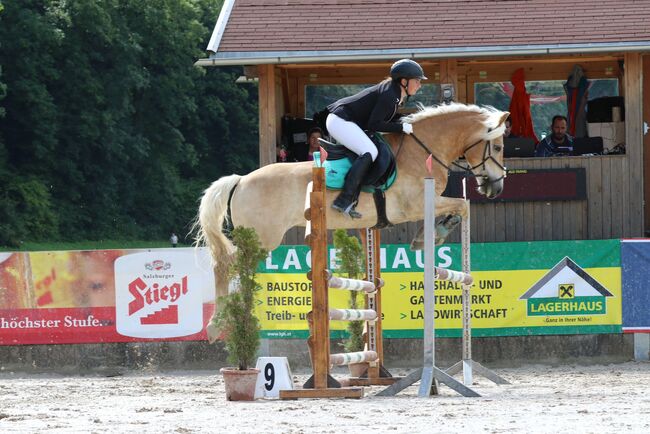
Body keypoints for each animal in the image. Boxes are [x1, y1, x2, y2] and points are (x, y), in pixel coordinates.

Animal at [195, 102, 508, 342]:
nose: (496, 187)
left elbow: (460, 206)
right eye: (499, 147)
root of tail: (241, 180)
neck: (422, 150)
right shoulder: (415, 205)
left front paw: (431, 233)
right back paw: (218, 326)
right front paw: (434, 234)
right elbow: (462, 205)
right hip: (262, 238)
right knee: (225, 267)